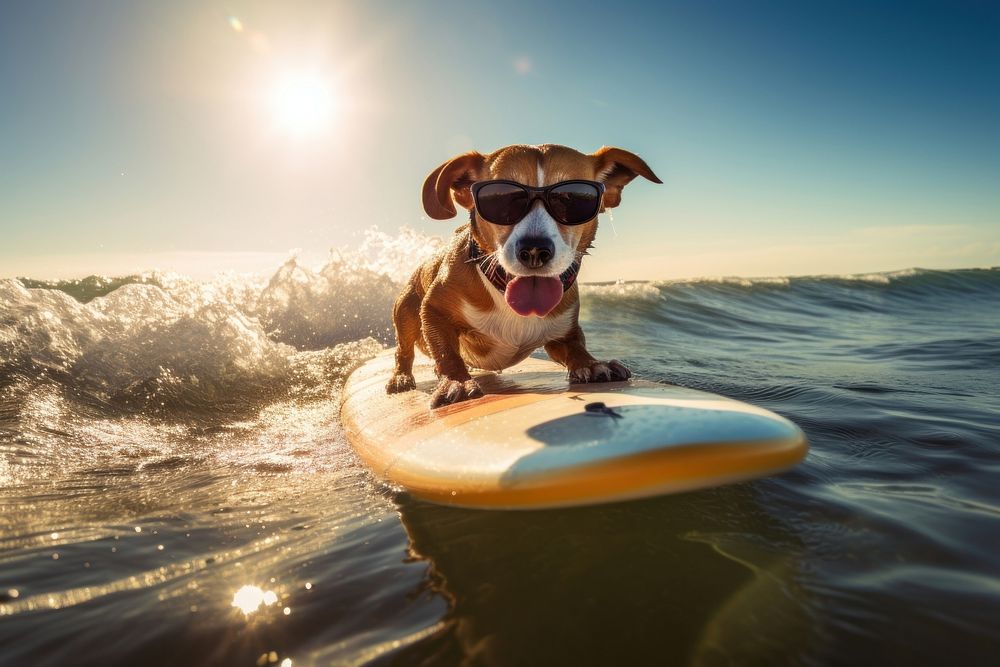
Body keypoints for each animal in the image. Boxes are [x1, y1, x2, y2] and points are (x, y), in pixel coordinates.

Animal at [386, 144, 660, 410]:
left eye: (572, 197)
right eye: (500, 198)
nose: (535, 251)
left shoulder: (563, 333)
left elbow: (575, 347)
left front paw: (591, 364)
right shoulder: (433, 310)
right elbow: (446, 352)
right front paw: (456, 381)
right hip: (406, 310)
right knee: (404, 350)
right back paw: (401, 377)